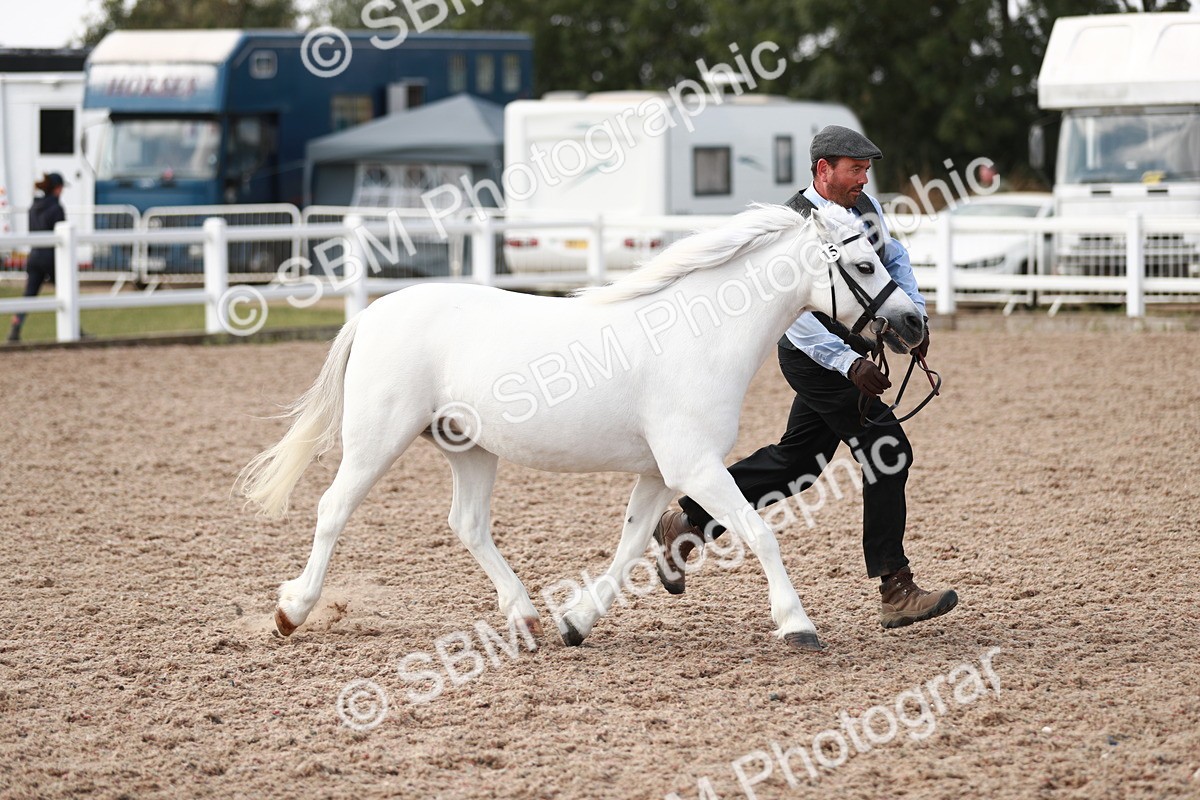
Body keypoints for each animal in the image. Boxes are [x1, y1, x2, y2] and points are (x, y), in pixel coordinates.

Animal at [239, 202, 924, 651]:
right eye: (864, 264)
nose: (914, 323)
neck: (697, 335)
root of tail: (375, 312)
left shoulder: (660, 472)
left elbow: (631, 544)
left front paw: (577, 622)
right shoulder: (694, 465)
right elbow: (759, 534)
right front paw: (796, 624)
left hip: (469, 447)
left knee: (468, 524)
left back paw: (525, 619)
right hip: (377, 440)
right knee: (333, 509)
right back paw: (291, 612)